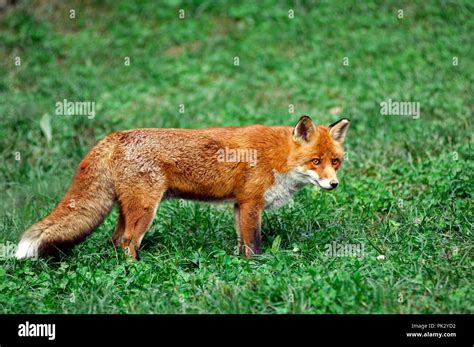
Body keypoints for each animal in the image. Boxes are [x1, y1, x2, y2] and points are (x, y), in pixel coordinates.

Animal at [15, 115, 348, 260]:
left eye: (335, 161)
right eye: (315, 161)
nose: (334, 184)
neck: (277, 157)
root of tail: (115, 136)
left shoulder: (239, 205)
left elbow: (242, 244)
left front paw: (241, 266)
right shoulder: (251, 204)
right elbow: (254, 244)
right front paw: (259, 268)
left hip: (129, 209)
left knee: (113, 241)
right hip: (145, 211)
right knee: (127, 243)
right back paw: (137, 272)